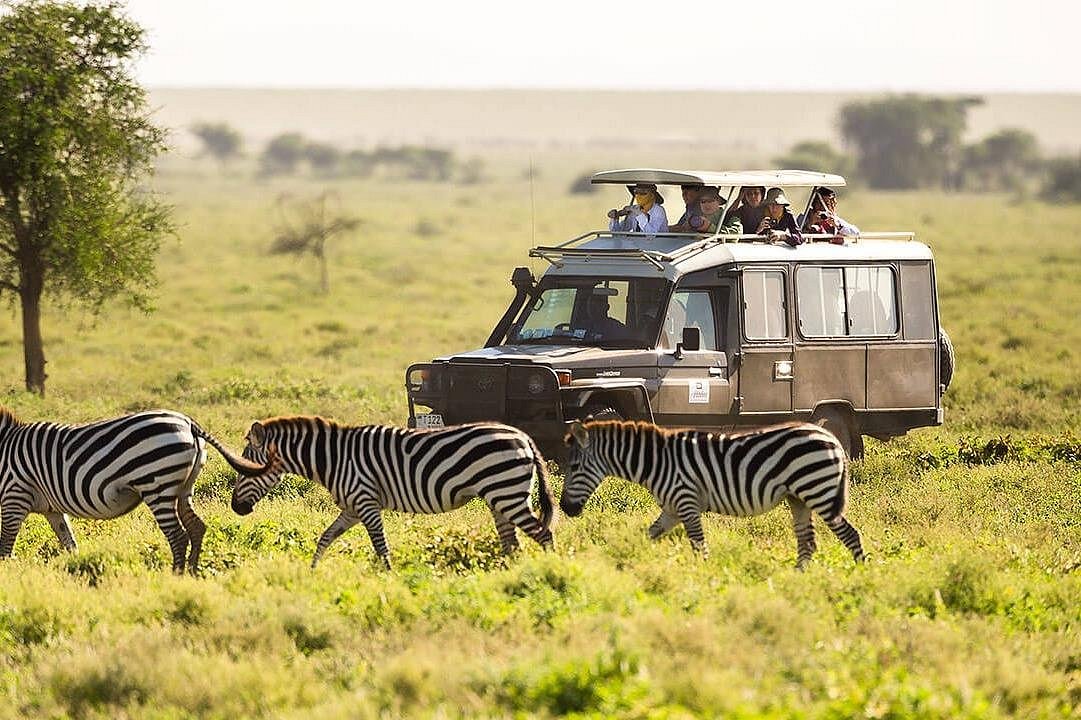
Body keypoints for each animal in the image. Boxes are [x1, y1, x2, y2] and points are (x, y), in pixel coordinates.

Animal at [0, 406, 274, 570]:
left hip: (157, 485)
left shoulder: (14, 497)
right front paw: (76, 568)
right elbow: (69, 543)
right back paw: (192, 573)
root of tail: (188, 423)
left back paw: (176, 577)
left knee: (177, 535)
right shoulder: (52, 509)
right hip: (184, 487)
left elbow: (5, 548)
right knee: (196, 528)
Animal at [234, 415, 557, 566]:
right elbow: (325, 538)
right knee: (511, 542)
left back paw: (550, 572)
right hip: (499, 496)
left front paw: (389, 579)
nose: (236, 507)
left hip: (507, 493)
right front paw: (312, 573)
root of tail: (524, 437)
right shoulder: (351, 508)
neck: (334, 458)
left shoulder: (366, 501)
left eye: (245, 467)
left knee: (544, 534)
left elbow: (380, 545)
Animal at [562, 421, 864, 566]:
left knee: (849, 535)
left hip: (819, 491)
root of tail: (832, 438)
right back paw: (794, 579)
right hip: (798, 498)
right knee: (807, 543)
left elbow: (698, 545)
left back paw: (861, 575)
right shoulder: (671, 509)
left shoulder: (686, 501)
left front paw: (703, 578)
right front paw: (627, 560)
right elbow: (649, 534)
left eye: (574, 467)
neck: (656, 462)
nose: (565, 509)